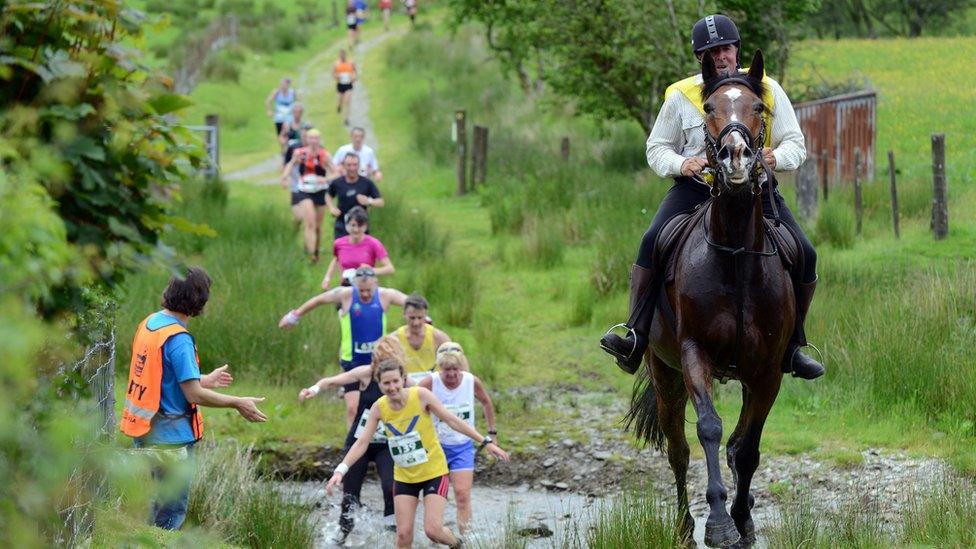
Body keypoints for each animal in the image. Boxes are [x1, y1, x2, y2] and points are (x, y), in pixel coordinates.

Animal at [628, 49, 796, 544]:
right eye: (708, 108)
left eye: (758, 107)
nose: (736, 157)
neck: (736, 255)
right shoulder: (693, 355)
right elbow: (709, 430)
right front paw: (720, 522)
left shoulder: (767, 371)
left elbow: (747, 447)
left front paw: (743, 519)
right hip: (663, 371)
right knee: (678, 450)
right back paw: (685, 527)